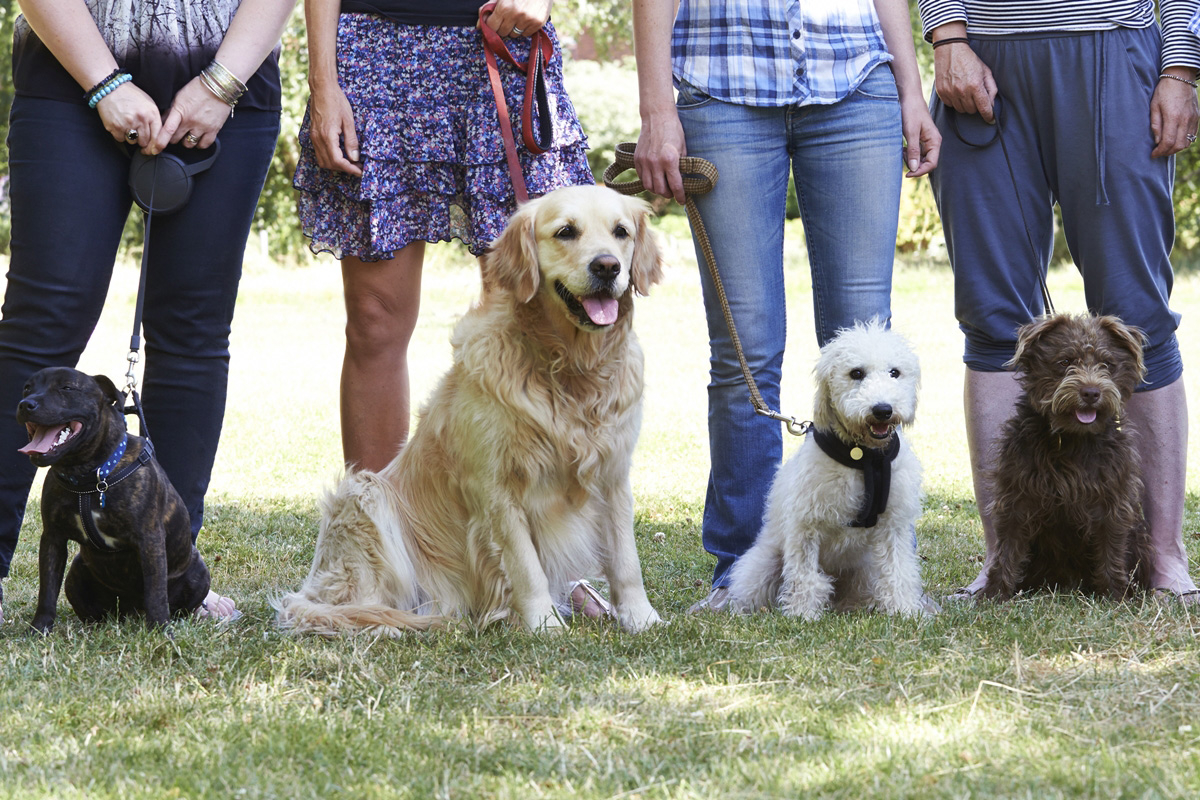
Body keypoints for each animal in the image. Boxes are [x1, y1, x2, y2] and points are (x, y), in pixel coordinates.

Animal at [17, 367, 208, 633]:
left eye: (67, 388)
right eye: (27, 388)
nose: (26, 404)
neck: (90, 477)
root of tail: (132, 610)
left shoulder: (150, 540)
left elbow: (156, 592)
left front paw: (160, 630)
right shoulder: (52, 538)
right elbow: (47, 589)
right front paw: (39, 629)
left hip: (199, 572)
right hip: (75, 573)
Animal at [274, 184, 667, 633]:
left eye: (621, 232)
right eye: (566, 231)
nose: (607, 267)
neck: (569, 368)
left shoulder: (614, 474)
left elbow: (626, 560)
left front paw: (642, 618)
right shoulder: (496, 486)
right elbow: (526, 566)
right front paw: (543, 625)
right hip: (363, 495)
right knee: (352, 603)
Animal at [724, 321, 931, 623]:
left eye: (895, 372)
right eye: (856, 373)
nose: (882, 410)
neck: (863, 458)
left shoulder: (894, 525)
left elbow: (898, 570)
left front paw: (904, 610)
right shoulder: (806, 526)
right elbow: (805, 576)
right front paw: (803, 614)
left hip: (865, 570)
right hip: (763, 564)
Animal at [984, 311, 1152, 599]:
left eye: (1107, 364)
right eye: (1065, 362)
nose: (1091, 392)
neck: (1073, 438)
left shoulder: (1113, 500)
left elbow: (1111, 548)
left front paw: (1116, 596)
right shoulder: (1016, 495)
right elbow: (1007, 548)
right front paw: (994, 595)